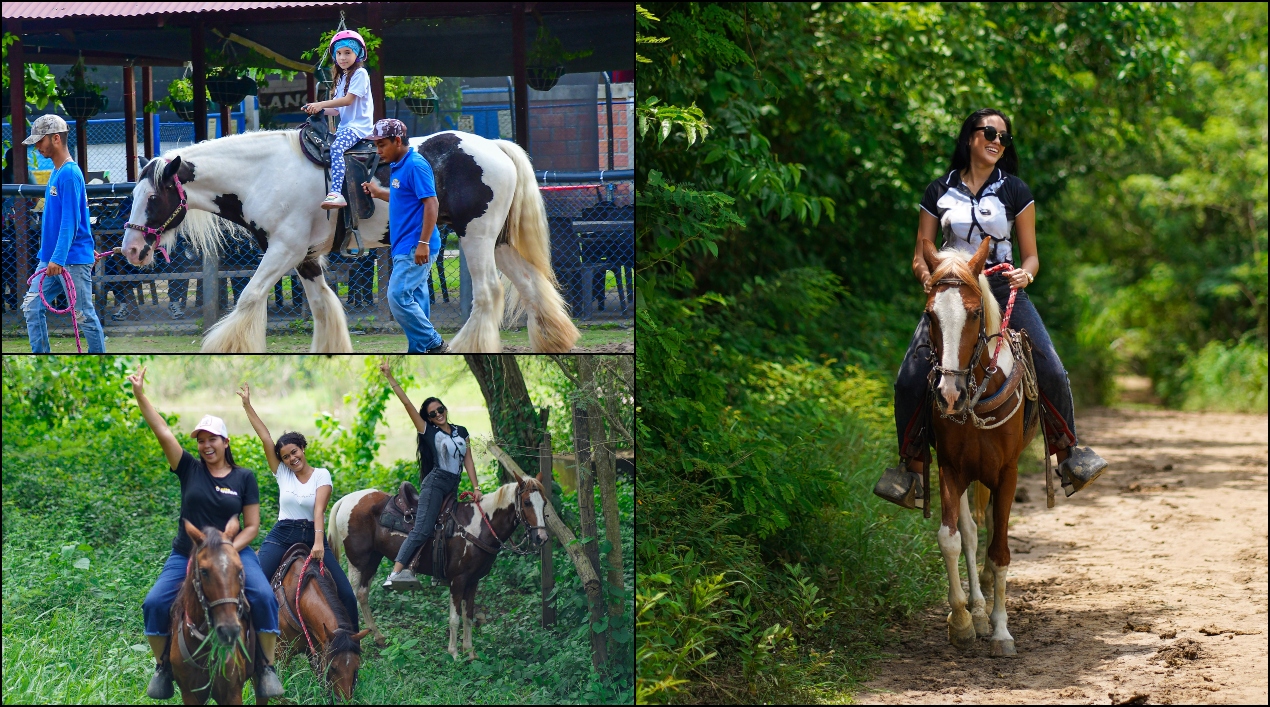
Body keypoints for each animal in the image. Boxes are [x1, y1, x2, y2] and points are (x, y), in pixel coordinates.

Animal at [114, 129, 581, 352]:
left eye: (152, 197)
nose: (132, 250)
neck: (264, 174)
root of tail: (497, 149)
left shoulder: (283, 250)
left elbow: (249, 298)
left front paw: (227, 347)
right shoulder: (303, 257)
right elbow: (323, 308)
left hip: (477, 237)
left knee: (488, 294)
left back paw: (468, 345)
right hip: (498, 242)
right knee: (532, 286)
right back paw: (555, 338)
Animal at [327, 469, 551, 654]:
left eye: (544, 503)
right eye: (527, 503)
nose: (542, 538)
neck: (478, 526)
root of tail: (346, 500)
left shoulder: (473, 581)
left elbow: (468, 616)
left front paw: (470, 653)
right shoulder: (458, 580)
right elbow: (454, 618)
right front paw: (454, 654)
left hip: (373, 559)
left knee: (362, 594)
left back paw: (378, 636)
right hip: (358, 561)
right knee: (353, 595)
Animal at [924, 237, 1041, 654]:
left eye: (975, 314)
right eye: (930, 316)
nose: (949, 395)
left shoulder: (1007, 473)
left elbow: (1001, 549)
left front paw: (1002, 630)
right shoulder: (950, 468)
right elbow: (951, 539)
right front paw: (961, 620)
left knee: (991, 529)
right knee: (972, 531)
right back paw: (976, 606)